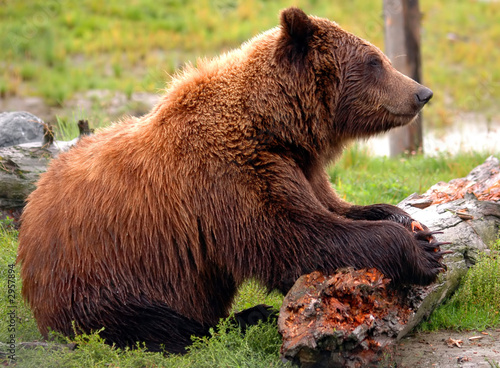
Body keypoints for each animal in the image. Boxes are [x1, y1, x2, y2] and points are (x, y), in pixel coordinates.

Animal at [17, 7, 444, 352]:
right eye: (375, 60)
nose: (422, 92)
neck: (276, 128)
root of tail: (29, 215)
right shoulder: (231, 177)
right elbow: (297, 236)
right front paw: (421, 252)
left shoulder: (299, 167)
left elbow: (338, 209)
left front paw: (410, 223)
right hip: (102, 272)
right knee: (155, 324)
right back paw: (248, 317)